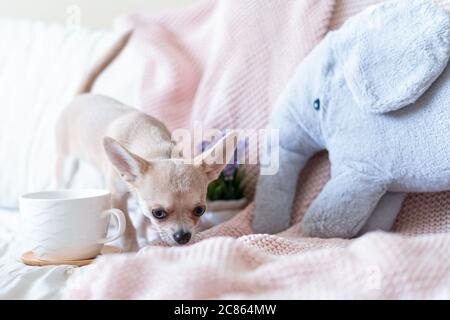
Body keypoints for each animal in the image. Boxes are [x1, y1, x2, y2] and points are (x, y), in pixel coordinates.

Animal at [55, 31, 237, 250]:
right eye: (158, 213)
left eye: (199, 210)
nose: (183, 236)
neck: (155, 148)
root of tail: (81, 96)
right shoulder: (117, 195)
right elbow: (128, 226)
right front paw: (132, 248)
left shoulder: (138, 194)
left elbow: (140, 218)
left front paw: (143, 235)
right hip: (67, 162)